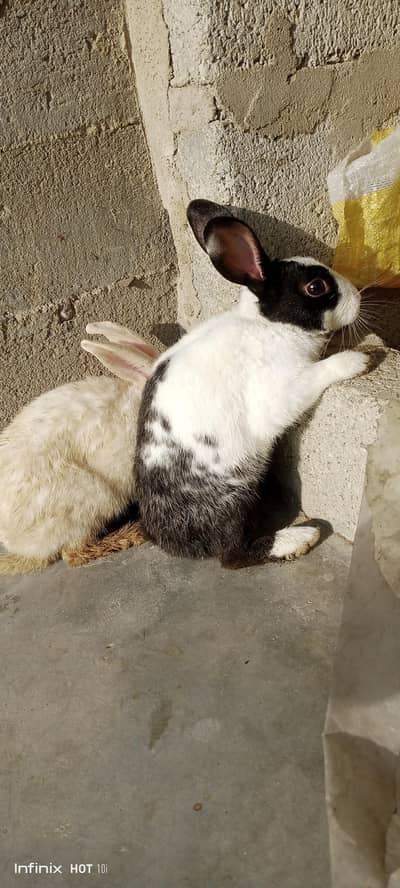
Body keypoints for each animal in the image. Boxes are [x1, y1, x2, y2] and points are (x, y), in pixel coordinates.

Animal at [135, 199, 370, 568]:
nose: (358, 298)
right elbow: (318, 374)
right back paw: (299, 538)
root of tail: (170, 540)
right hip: (234, 493)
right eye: (316, 288)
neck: (271, 325)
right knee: (232, 555)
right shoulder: (283, 389)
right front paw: (359, 360)